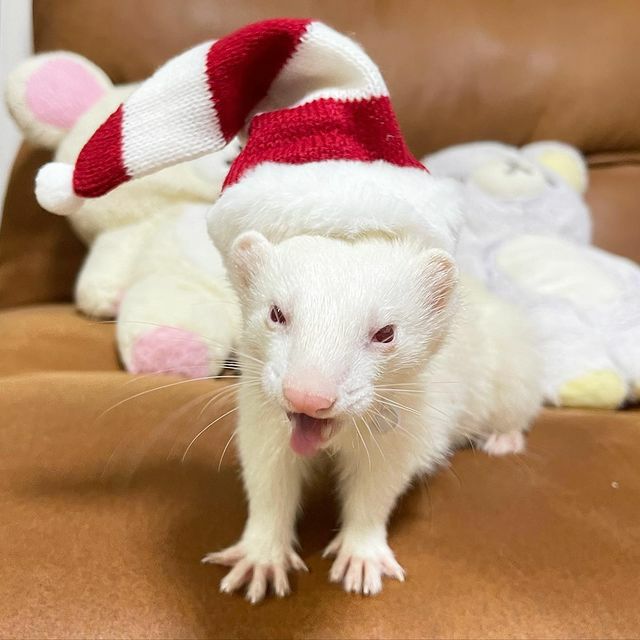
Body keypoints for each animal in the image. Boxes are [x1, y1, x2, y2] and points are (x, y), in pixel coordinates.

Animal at [202, 232, 541, 603]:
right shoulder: (262, 429)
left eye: (385, 332)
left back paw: (503, 440)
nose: (308, 394)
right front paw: (260, 558)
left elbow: (374, 494)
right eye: (276, 312)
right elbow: (268, 488)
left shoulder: (398, 443)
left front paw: (361, 558)